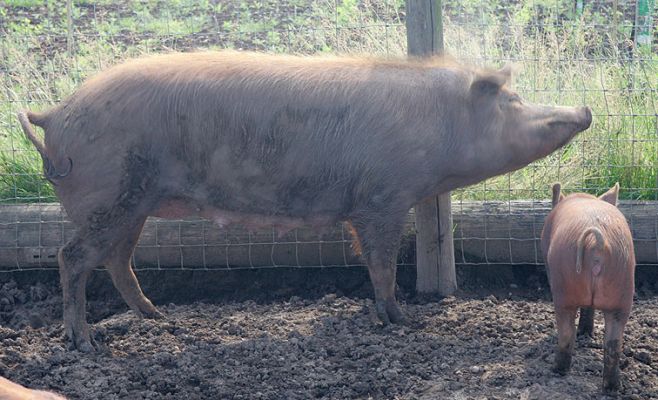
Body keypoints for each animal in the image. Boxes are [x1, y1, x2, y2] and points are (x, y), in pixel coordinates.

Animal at [18, 51, 592, 351]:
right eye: (513, 100)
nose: (584, 109)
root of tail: (55, 113)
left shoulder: (373, 202)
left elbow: (373, 260)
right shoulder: (381, 198)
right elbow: (382, 261)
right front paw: (402, 321)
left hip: (129, 206)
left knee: (117, 260)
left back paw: (160, 319)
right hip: (106, 198)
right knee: (72, 258)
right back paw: (83, 342)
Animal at [541, 183, 635, 393]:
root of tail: (598, 243)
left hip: (564, 286)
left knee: (567, 332)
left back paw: (557, 370)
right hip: (623, 287)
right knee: (613, 343)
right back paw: (612, 387)